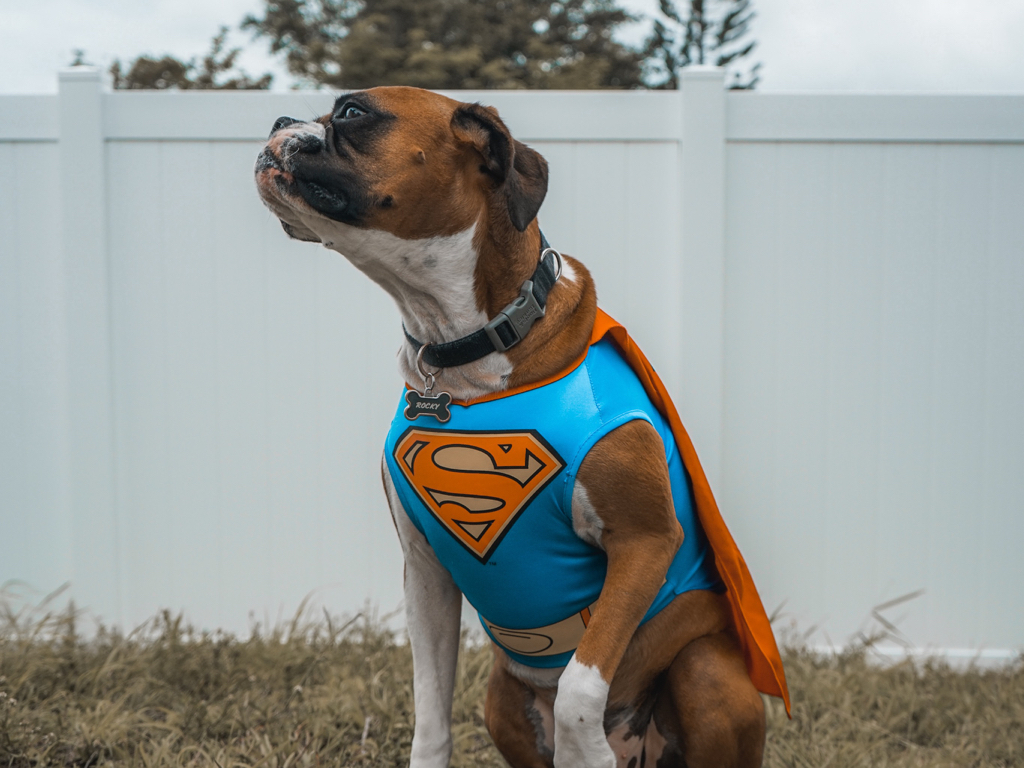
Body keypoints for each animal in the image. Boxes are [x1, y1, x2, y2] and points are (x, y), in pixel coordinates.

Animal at [254, 86, 788, 768]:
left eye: (352, 112)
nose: (277, 121)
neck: (468, 350)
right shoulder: (425, 571)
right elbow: (430, 710)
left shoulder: (643, 544)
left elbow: (579, 689)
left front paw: (586, 749)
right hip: (501, 695)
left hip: (705, 670)